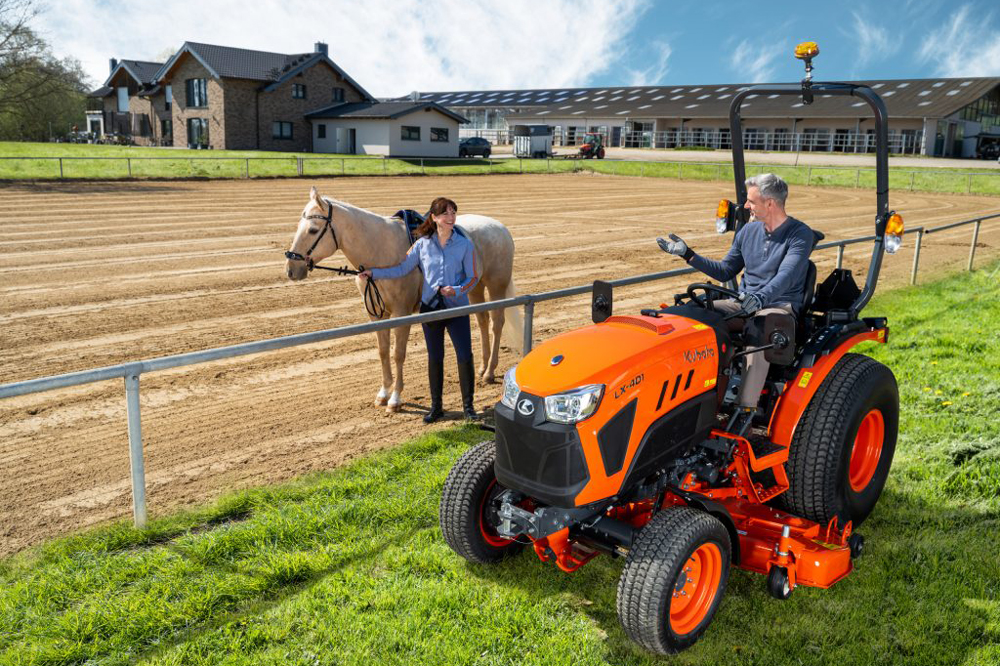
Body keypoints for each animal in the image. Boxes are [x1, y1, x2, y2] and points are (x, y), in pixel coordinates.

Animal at [284, 187, 524, 410]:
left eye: (313, 229)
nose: (291, 268)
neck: (380, 250)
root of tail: (501, 228)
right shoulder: (376, 315)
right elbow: (383, 352)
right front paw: (383, 393)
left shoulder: (402, 313)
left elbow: (398, 353)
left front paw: (395, 398)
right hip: (474, 289)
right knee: (482, 321)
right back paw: (482, 368)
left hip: (496, 286)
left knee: (496, 324)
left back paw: (490, 371)